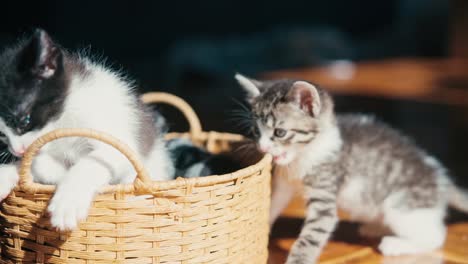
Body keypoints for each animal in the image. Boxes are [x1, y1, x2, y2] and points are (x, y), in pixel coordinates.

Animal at [0, 28, 175, 230]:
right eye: (2, 135)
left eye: (24, 120)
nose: (17, 151)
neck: (63, 122)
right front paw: (8, 173)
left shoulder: (116, 141)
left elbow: (90, 163)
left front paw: (68, 202)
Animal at [236, 73, 468, 264]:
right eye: (256, 132)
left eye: (280, 132)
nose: (262, 147)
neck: (301, 158)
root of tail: (439, 175)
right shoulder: (284, 184)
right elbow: (271, 205)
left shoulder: (324, 198)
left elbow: (310, 238)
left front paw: (298, 260)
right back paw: (375, 227)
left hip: (401, 206)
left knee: (436, 236)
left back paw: (396, 244)